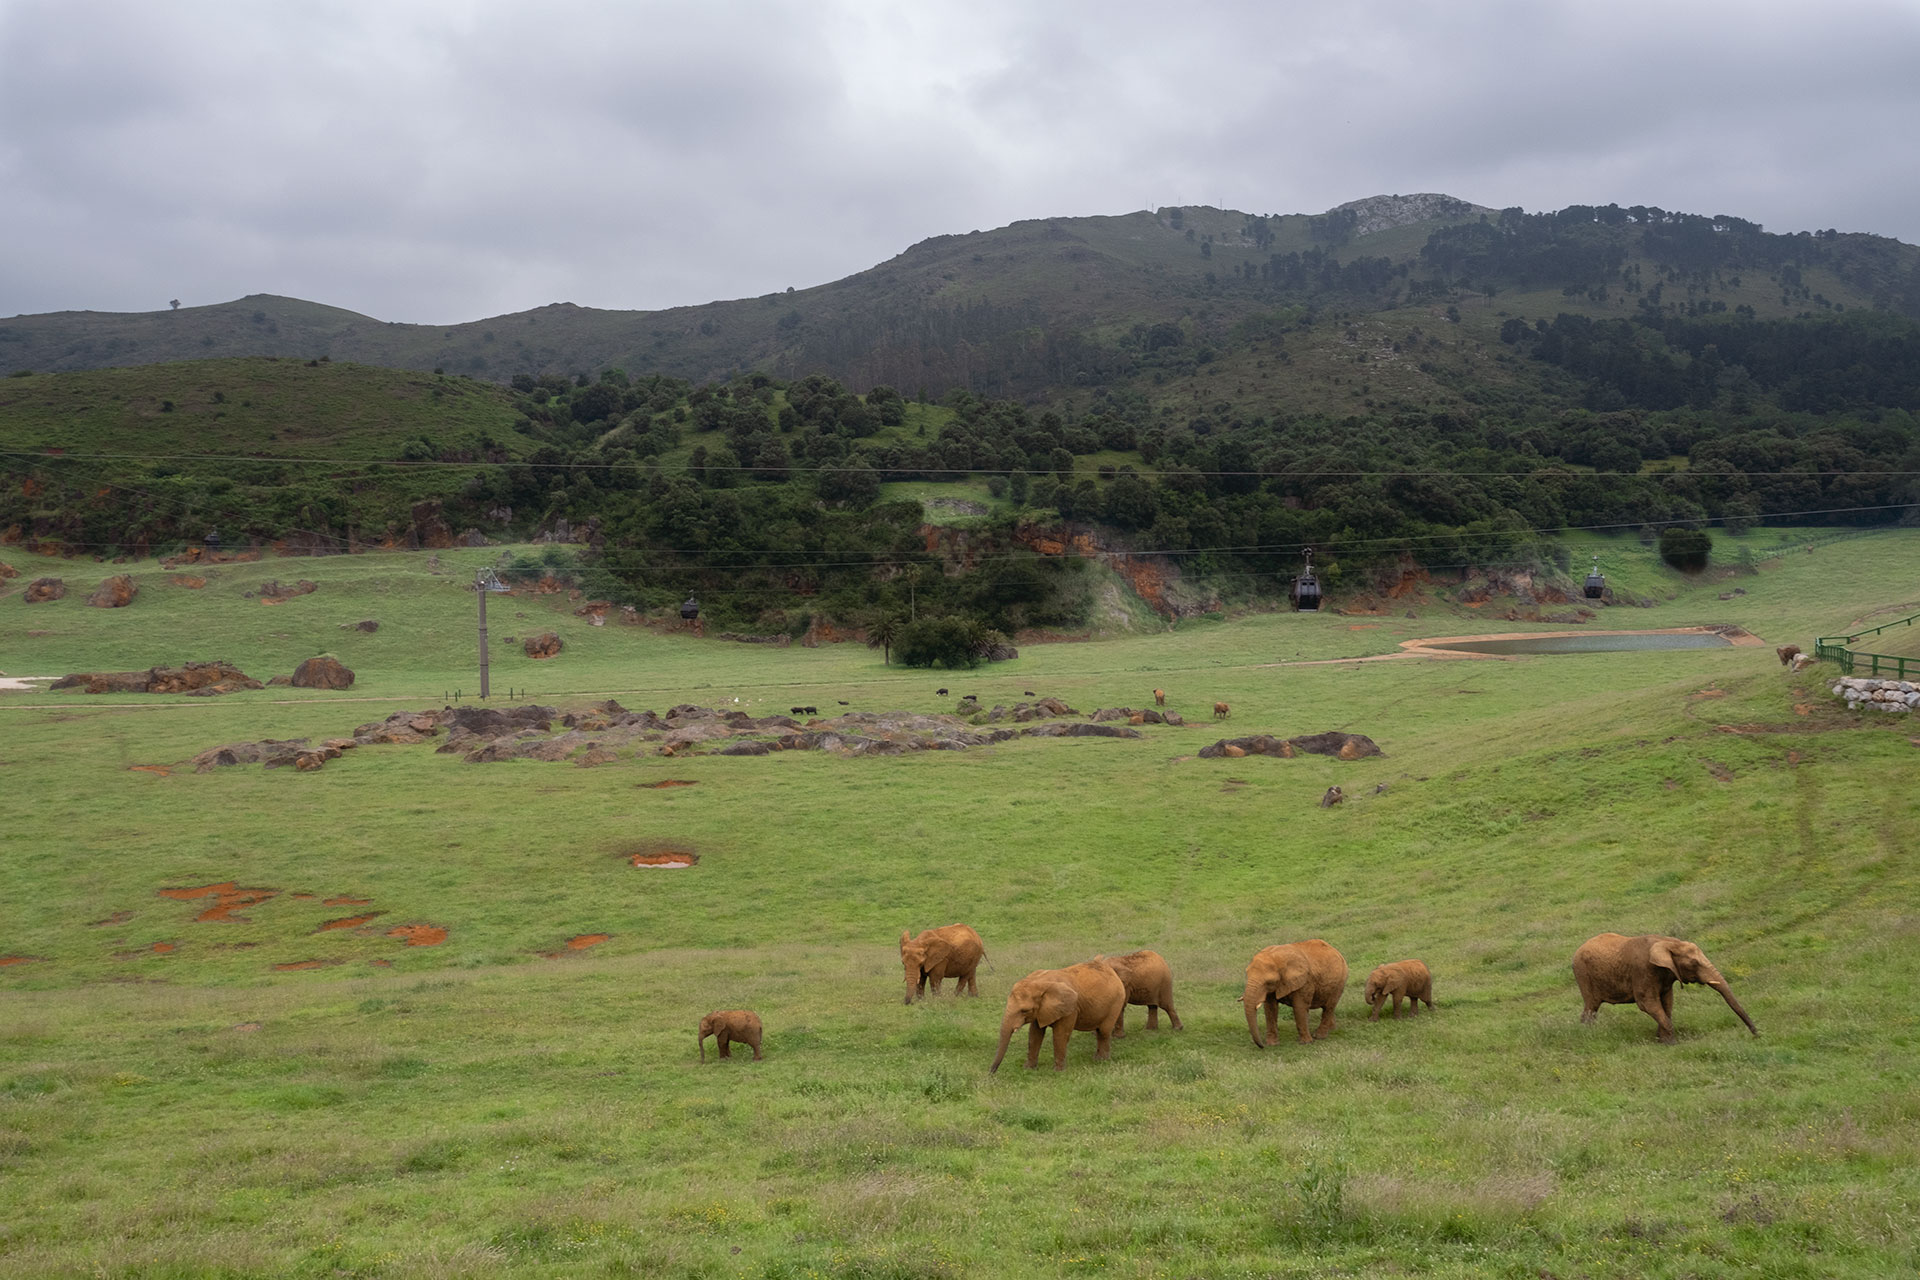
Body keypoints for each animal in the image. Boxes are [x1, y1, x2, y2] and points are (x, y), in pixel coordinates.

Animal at [990, 959, 1121, 1074]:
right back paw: (1097, 1058)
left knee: (1104, 1032)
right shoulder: (1041, 1010)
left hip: (1115, 1004)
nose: (991, 1073)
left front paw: (1058, 1072)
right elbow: (1034, 1035)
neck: (1040, 982)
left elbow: (1060, 1035)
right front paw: (1028, 1069)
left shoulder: (1070, 1009)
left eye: (1025, 1011)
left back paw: (1101, 1060)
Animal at [1574, 936, 1758, 1043]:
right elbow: (1647, 1004)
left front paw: (1661, 1040)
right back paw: (1588, 1034)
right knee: (1591, 1006)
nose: (1757, 1035)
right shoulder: (1642, 971)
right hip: (1583, 974)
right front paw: (1672, 1044)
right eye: (1693, 963)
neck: (1668, 942)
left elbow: (1667, 1003)